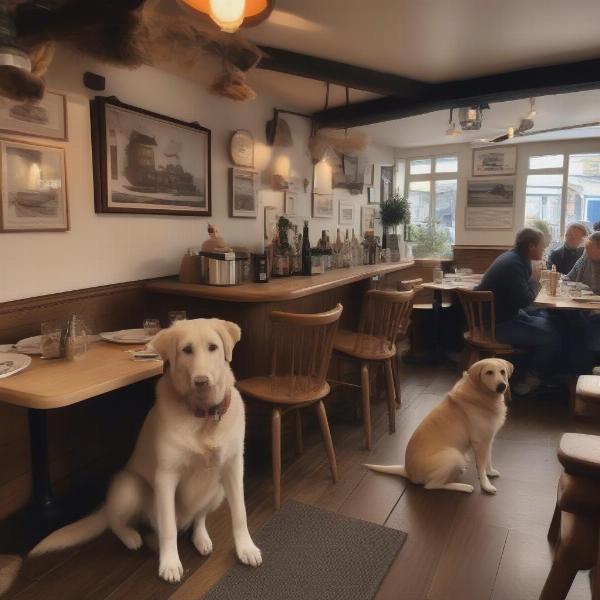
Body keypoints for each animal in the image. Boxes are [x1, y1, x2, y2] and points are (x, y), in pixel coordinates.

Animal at [28, 322, 260, 584]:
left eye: (213, 347)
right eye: (187, 350)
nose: (201, 381)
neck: (204, 416)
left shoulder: (233, 469)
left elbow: (240, 513)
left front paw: (246, 548)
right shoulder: (166, 477)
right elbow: (168, 528)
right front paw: (170, 564)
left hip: (217, 490)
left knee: (198, 518)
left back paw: (200, 537)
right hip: (129, 486)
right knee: (116, 521)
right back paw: (132, 537)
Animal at [366, 358, 510, 494]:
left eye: (502, 372)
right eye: (488, 372)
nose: (502, 386)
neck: (480, 392)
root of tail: (408, 472)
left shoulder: (488, 440)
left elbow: (488, 460)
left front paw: (490, 472)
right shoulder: (479, 442)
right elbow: (481, 467)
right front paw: (486, 485)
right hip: (454, 456)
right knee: (431, 485)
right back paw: (463, 487)